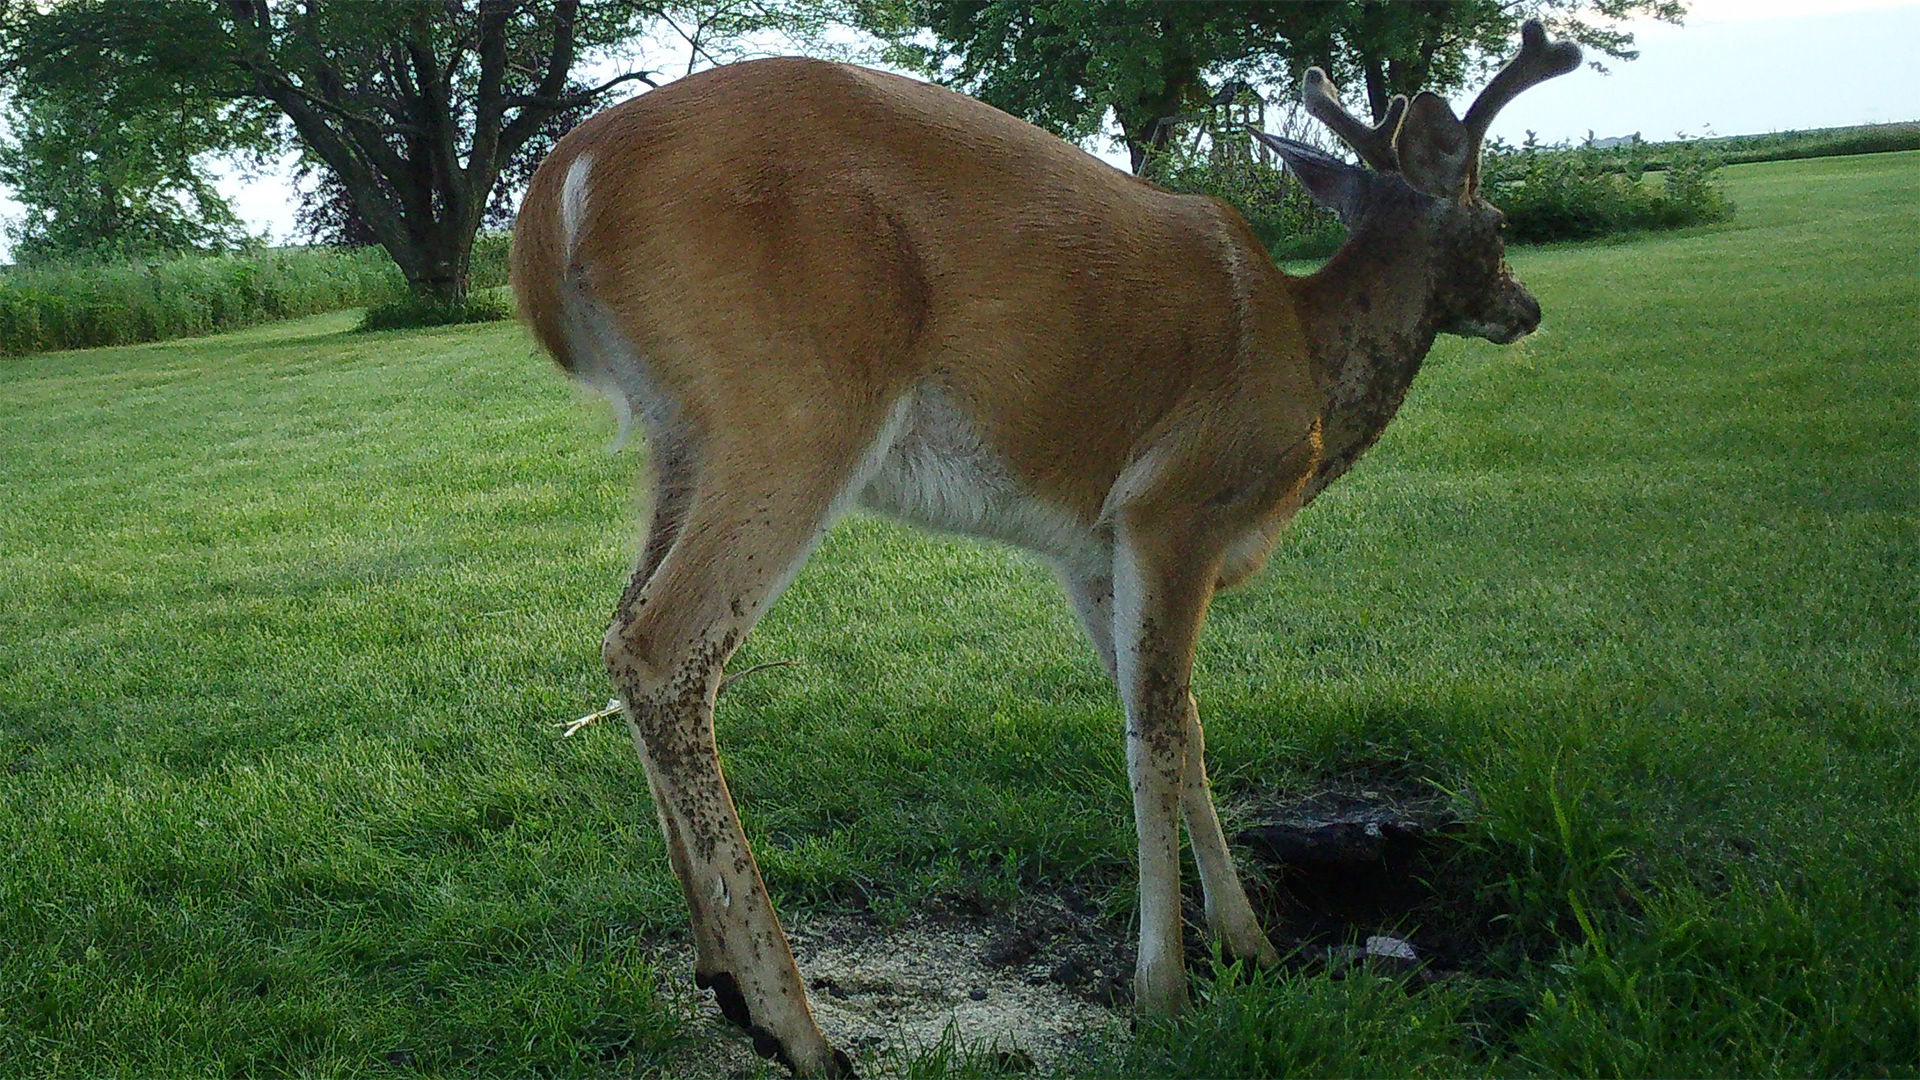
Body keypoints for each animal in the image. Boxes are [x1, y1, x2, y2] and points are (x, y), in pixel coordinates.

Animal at [506, 18, 1574, 1076]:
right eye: (1500, 224)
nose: (1526, 308)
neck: (1312, 374)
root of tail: (557, 195)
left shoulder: (1092, 553)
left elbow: (1184, 724)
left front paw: (1251, 944)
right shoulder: (1174, 504)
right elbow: (1155, 735)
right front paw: (1165, 990)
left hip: (682, 433)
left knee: (623, 635)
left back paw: (722, 978)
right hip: (793, 399)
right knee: (663, 650)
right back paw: (797, 1029)